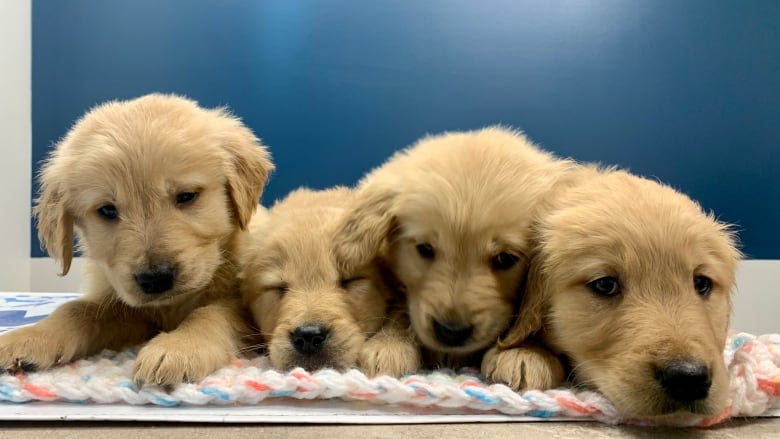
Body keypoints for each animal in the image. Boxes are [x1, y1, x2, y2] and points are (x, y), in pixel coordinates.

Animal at [0, 94, 274, 386]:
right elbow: (77, 309)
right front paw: (28, 337)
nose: (155, 278)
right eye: (107, 210)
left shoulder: (242, 308)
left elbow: (212, 312)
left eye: (186, 196)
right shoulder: (126, 310)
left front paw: (179, 348)